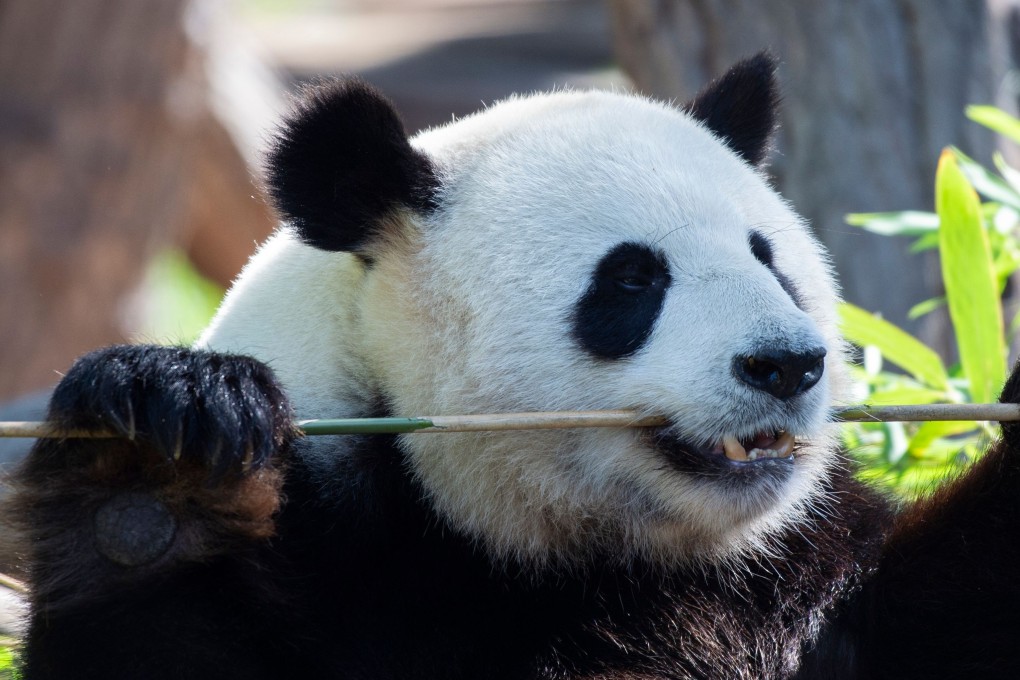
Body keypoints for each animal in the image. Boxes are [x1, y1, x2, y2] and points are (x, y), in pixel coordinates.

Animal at [10, 52, 1020, 679]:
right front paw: (160, 454)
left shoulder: (805, 574)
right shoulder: (343, 572)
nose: (786, 365)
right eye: (631, 279)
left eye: (769, 258)